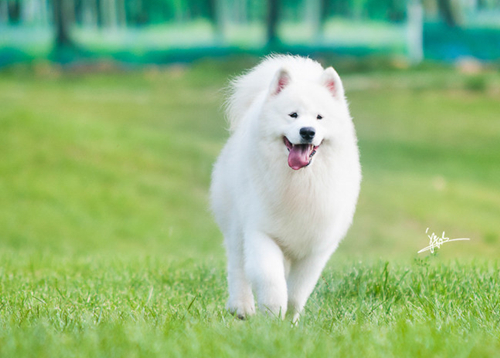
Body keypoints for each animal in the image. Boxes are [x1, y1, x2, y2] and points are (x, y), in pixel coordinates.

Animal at [210, 55, 360, 322]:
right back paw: (241, 307)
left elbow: (298, 291)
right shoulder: (261, 232)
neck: (300, 183)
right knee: (237, 266)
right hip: (236, 224)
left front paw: (289, 319)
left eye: (319, 117)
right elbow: (271, 279)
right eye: (293, 115)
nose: (307, 131)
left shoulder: (316, 248)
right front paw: (273, 314)